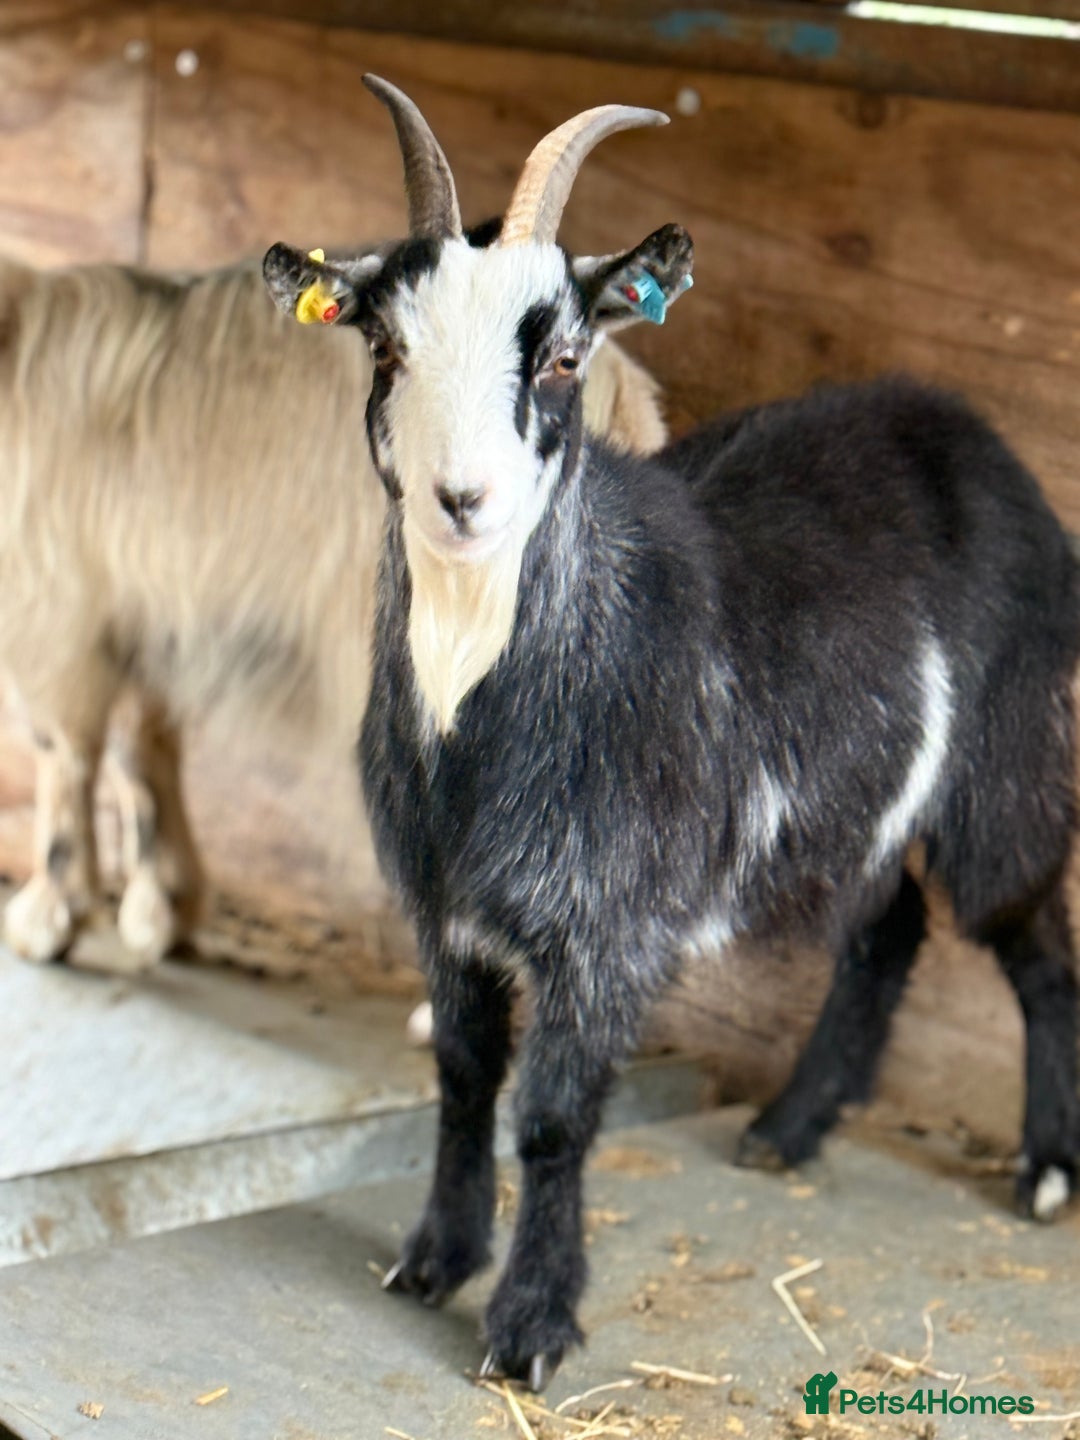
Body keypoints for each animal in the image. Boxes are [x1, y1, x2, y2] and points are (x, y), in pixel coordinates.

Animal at [0, 245, 665, 968]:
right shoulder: (145, 615)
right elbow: (140, 748)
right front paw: (161, 908)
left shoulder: (57, 614)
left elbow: (67, 753)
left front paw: (49, 914)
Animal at [265, 78, 1080, 1389]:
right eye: (386, 346)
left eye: (560, 354)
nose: (461, 501)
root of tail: (968, 434)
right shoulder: (444, 912)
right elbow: (461, 1076)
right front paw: (435, 1257)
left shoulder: (607, 926)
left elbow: (551, 1118)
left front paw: (531, 1326)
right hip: (853, 803)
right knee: (888, 926)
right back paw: (789, 1129)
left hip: (1007, 760)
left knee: (1033, 937)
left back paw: (1045, 1171)